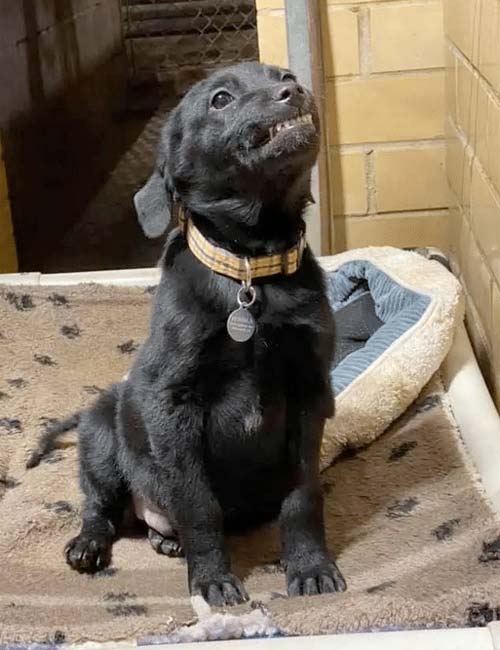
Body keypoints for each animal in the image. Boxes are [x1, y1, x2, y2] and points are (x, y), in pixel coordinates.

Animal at [60, 63, 346, 604]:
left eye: (284, 74)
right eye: (220, 100)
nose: (294, 90)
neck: (252, 271)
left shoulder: (309, 394)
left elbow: (303, 496)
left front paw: (310, 568)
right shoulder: (173, 405)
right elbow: (198, 505)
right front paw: (213, 582)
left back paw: (164, 541)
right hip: (102, 429)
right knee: (99, 505)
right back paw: (89, 545)